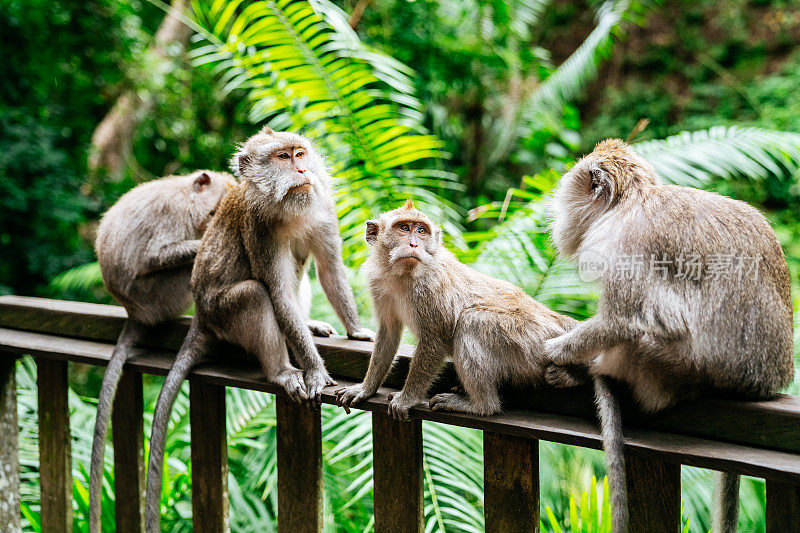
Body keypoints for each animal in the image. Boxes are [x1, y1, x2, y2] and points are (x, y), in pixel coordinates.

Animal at [90, 170, 236, 532]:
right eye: (213, 212)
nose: (212, 225)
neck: (184, 191)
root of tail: (135, 313)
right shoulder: (175, 212)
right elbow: (156, 255)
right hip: (163, 295)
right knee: (185, 270)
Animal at [334, 201, 580, 420]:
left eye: (421, 231)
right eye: (404, 228)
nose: (414, 245)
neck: (403, 275)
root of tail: (555, 319)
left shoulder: (429, 289)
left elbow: (434, 341)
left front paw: (406, 399)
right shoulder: (380, 285)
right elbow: (388, 332)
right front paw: (366, 389)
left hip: (531, 339)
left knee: (472, 320)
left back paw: (481, 406)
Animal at [544, 138, 792, 532]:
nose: (559, 217)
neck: (632, 201)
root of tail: (764, 385)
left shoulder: (625, 244)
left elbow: (624, 321)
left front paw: (553, 349)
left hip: (674, 367)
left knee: (643, 334)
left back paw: (588, 373)